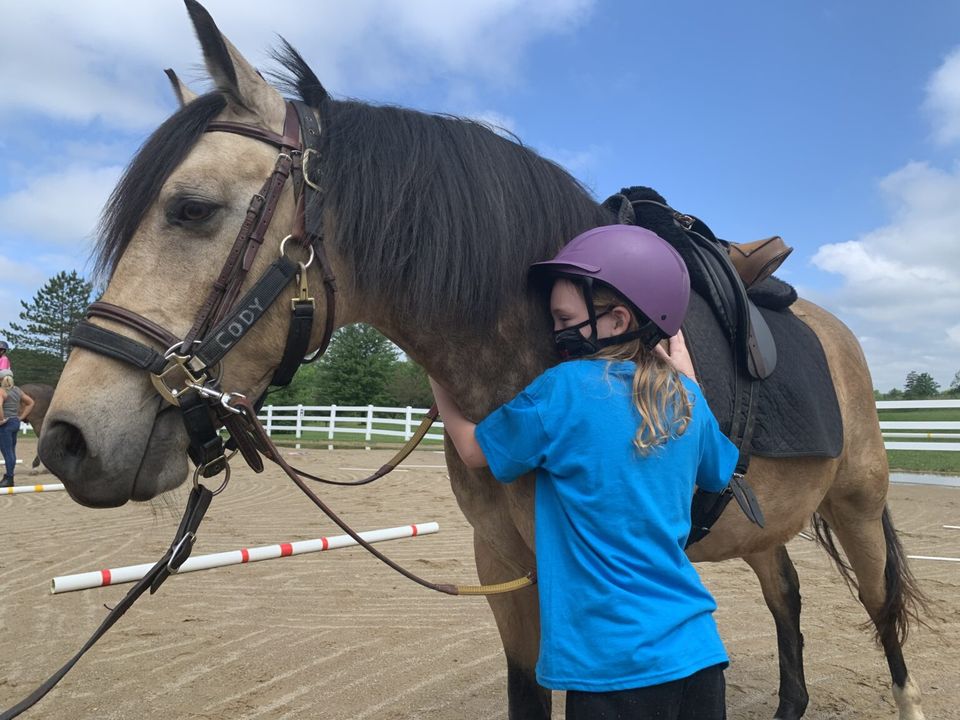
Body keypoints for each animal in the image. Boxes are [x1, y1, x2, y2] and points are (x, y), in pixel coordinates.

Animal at [33, 2, 928, 716]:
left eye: (191, 209)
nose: (67, 439)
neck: (538, 348)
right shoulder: (503, 560)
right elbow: (527, 694)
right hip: (766, 521)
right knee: (788, 600)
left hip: (857, 508)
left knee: (883, 615)